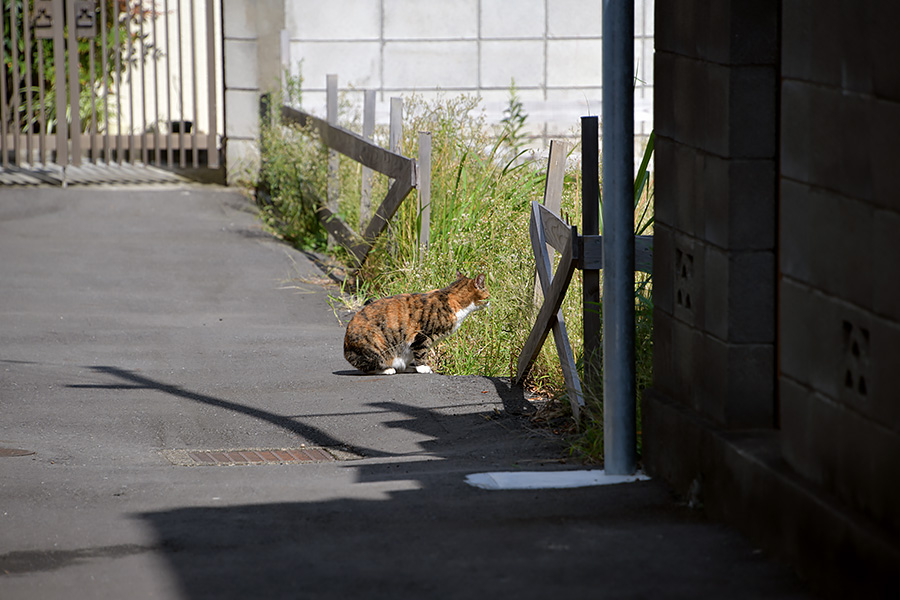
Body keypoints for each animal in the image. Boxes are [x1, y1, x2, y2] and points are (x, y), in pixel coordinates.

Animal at [344, 274, 488, 376]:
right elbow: (421, 350)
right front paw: (423, 368)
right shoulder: (422, 334)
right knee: (370, 368)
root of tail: (346, 350)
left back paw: (408, 367)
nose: (490, 301)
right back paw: (388, 370)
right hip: (377, 347)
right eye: (487, 294)